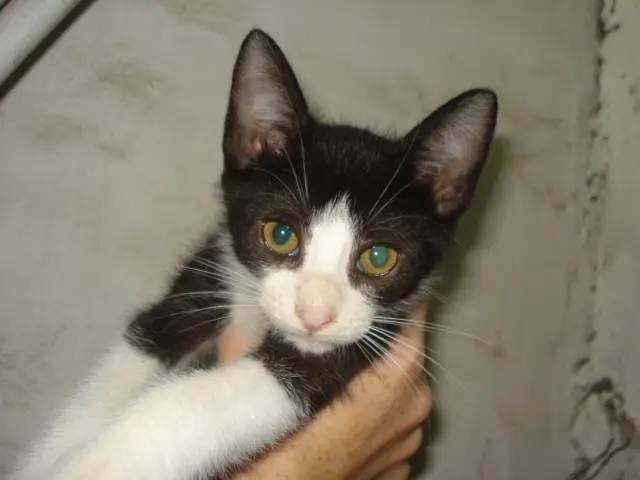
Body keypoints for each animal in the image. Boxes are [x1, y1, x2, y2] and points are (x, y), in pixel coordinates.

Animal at [10, 29, 498, 480]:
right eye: (280, 234)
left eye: (379, 258)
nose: (314, 316)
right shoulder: (217, 264)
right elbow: (135, 351)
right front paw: (55, 455)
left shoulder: (367, 337)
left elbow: (190, 403)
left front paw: (91, 464)